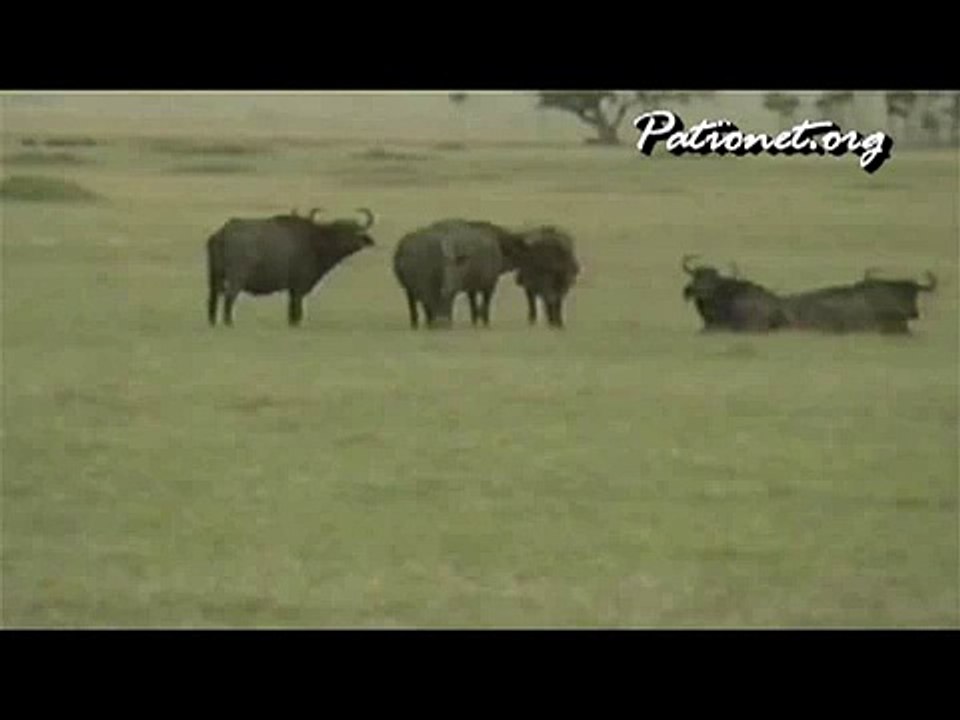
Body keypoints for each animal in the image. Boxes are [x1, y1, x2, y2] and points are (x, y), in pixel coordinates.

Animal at [206, 208, 376, 327]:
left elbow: (290, 308)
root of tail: (223, 233)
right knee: (229, 298)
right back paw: (229, 323)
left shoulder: (292, 289)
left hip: (214, 276)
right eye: (339, 230)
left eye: (354, 229)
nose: (350, 241)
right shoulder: (298, 286)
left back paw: (213, 322)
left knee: (213, 298)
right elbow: (297, 307)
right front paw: (296, 323)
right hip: (237, 278)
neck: (315, 243)